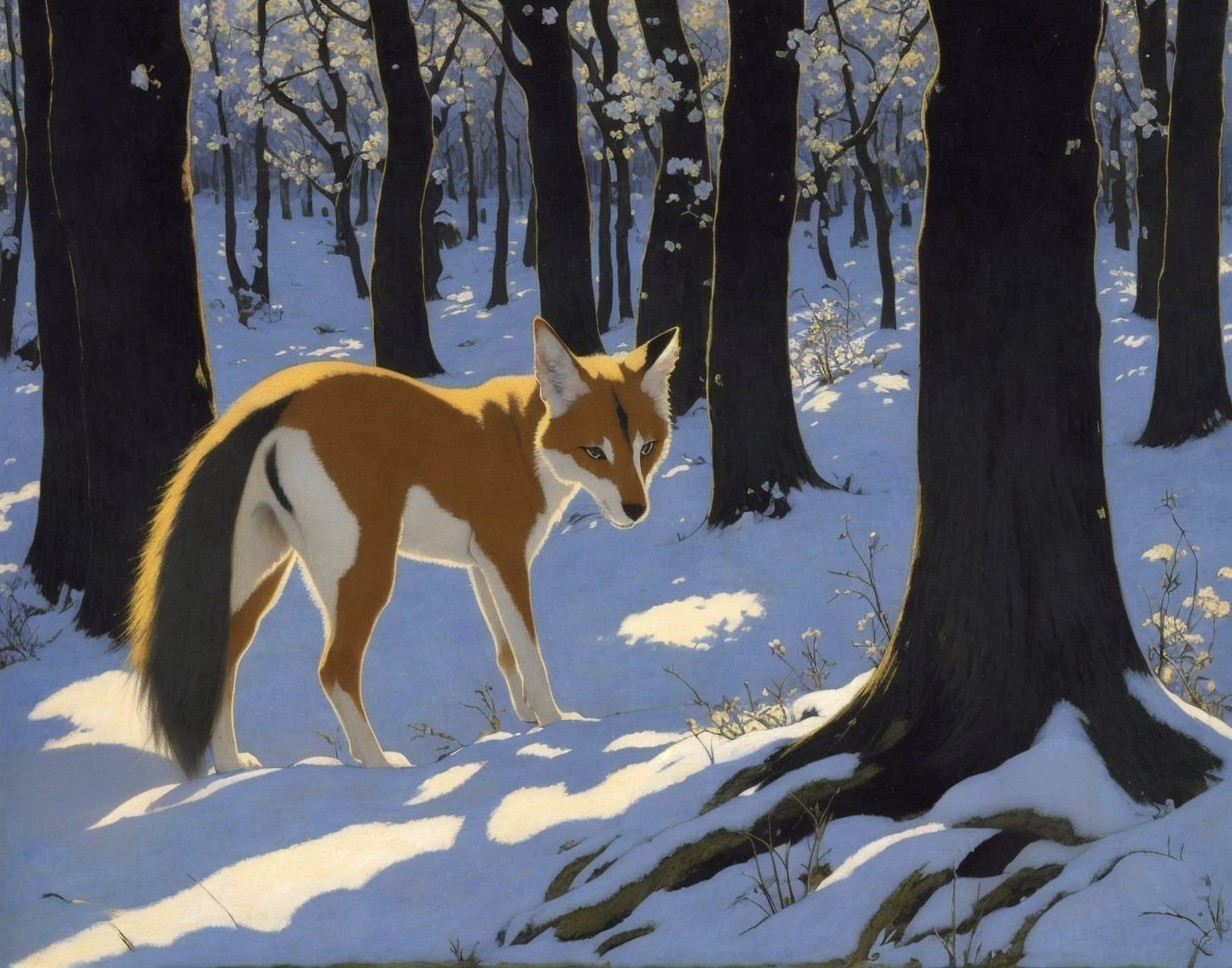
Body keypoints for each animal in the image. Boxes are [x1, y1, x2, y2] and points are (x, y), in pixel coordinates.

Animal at [128, 317, 679, 777]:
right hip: (365, 571)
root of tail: (283, 399)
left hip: (264, 580)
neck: (521, 442)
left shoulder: (482, 565)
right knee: (334, 669)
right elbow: (531, 653)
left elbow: (505, 652)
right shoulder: (505, 557)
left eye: (646, 448)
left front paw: (525, 721)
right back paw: (377, 766)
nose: (636, 510)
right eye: (594, 452)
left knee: (222, 663)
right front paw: (558, 725)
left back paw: (232, 770)